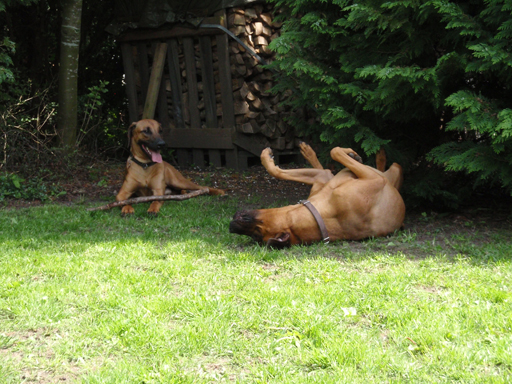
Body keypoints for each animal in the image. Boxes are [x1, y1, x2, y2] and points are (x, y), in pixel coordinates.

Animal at [230, 142, 406, 248]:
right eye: (256, 234)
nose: (231, 227)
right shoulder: (376, 179)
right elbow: (335, 151)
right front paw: (350, 153)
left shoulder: (321, 178)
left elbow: (277, 171)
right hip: (394, 170)